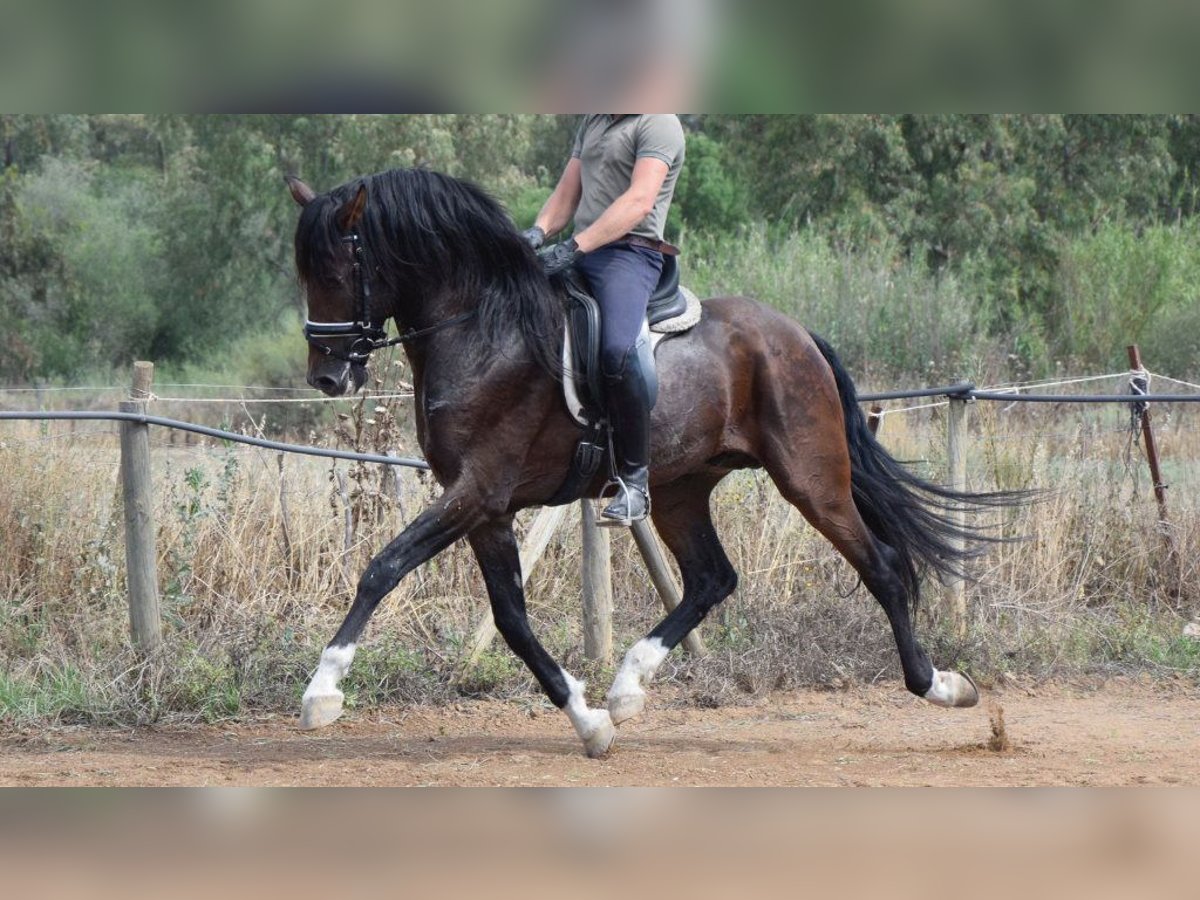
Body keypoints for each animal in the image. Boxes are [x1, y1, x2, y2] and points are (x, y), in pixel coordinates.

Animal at [283, 165, 1022, 758]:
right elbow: (512, 621)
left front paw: (322, 692)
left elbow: (383, 568)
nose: (327, 378)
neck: (482, 331)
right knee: (711, 579)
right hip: (678, 489)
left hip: (811, 479)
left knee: (882, 566)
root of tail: (795, 333)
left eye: (338, 273)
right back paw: (628, 686)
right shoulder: (485, 508)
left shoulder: (477, 491)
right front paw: (588, 722)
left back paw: (942, 686)